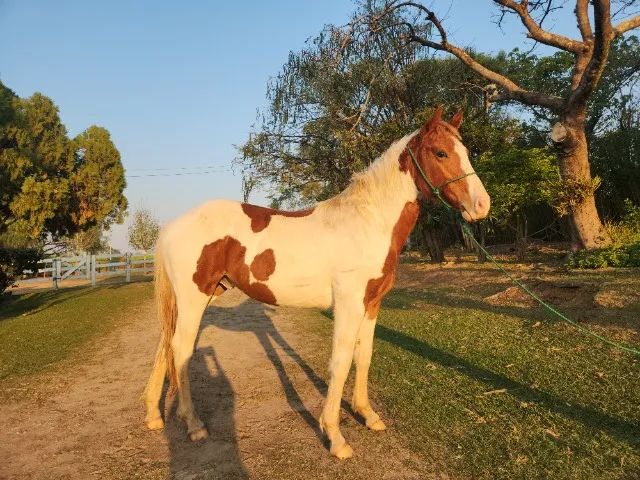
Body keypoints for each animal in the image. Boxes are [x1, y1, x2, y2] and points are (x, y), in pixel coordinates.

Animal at [143, 105, 490, 459]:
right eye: (440, 152)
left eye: (465, 151)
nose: (482, 205)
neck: (368, 222)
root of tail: (171, 226)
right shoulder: (349, 304)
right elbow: (341, 361)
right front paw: (335, 436)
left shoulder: (372, 303)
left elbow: (364, 356)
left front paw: (368, 415)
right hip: (194, 299)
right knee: (180, 349)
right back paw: (194, 424)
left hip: (202, 295)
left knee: (164, 345)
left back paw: (154, 416)